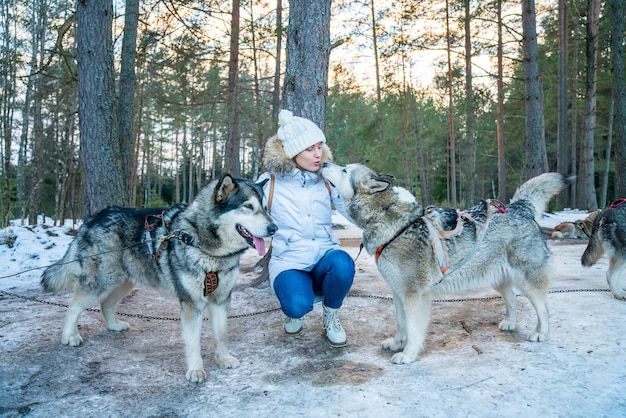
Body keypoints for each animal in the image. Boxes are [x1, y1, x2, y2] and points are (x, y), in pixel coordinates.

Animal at [42, 175, 276, 384]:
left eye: (265, 208)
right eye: (248, 206)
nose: (274, 228)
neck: (205, 246)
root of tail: (93, 218)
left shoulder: (221, 300)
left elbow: (221, 335)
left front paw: (224, 359)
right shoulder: (191, 304)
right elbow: (194, 342)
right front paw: (195, 370)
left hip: (125, 282)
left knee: (106, 304)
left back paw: (114, 326)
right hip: (101, 283)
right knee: (73, 306)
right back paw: (69, 337)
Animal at [322, 163, 572, 366]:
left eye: (344, 170)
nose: (324, 163)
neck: (388, 218)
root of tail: (520, 207)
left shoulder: (414, 295)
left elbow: (413, 329)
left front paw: (408, 354)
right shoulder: (398, 293)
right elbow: (402, 324)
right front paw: (397, 343)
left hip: (527, 281)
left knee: (543, 308)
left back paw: (542, 334)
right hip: (499, 279)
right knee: (512, 300)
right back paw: (510, 323)